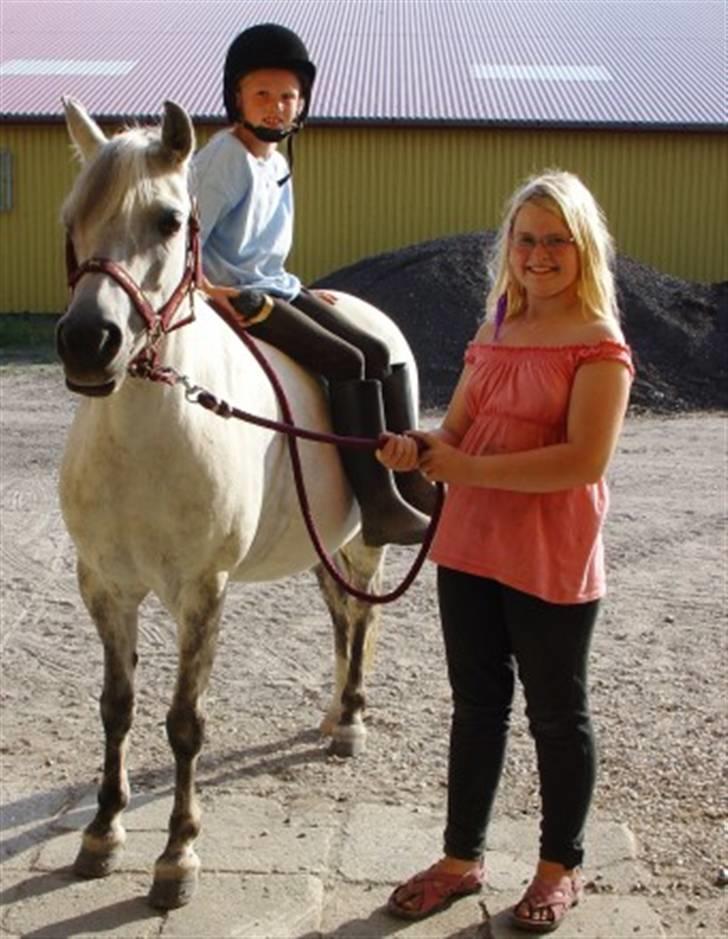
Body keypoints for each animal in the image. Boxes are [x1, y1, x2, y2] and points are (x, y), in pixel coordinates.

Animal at [55, 98, 422, 909]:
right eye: (72, 216)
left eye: (168, 220)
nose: (89, 341)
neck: (147, 434)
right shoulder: (105, 586)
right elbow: (116, 706)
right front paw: (102, 832)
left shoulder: (202, 590)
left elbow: (185, 722)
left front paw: (177, 855)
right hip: (323, 544)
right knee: (341, 618)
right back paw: (334, 712)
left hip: (363, 540)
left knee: (362, 616)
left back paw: (349, 720)